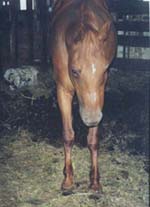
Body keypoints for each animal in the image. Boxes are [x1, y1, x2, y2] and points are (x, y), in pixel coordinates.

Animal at [51, 0, 116, 192]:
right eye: (74, 71)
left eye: (105, 69)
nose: (91, 118)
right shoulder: (63, 90)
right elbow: (68, 135)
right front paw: (68, 179)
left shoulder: (99, 94)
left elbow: (93, 140)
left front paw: (94, 181)